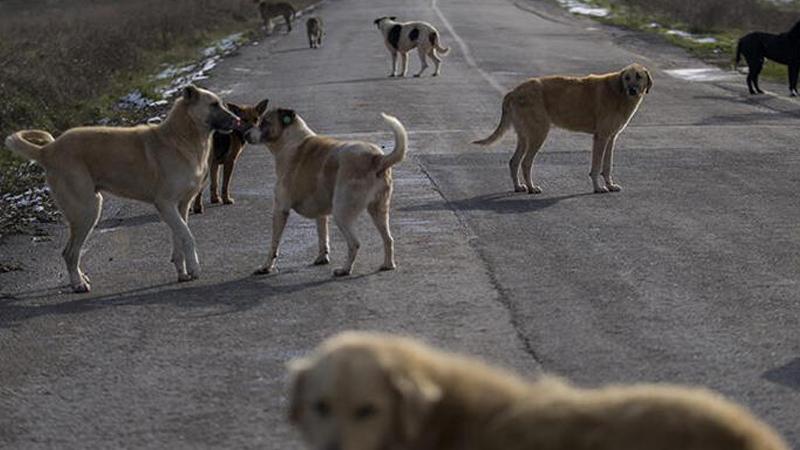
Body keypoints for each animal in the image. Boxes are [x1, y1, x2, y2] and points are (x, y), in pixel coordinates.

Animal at [3, 86, 241, 294]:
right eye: (213, 104)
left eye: (221, 103)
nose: (238, 121)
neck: (182, 137)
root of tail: (47, 150)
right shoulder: (165, 204)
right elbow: (188, 237)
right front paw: (194, 268)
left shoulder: (180, 206)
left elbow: (179, 238)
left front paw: (182, 272)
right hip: (87, 210)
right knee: (69, 253)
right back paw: (78, 284)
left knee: (73, 252)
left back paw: (80, 278)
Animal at [244, 109, 406, 278]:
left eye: (264, 122)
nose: (245, 134)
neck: (290, 141)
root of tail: (377, 158)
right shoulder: (320, 213)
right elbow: (322, 236)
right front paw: (322, 257)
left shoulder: (280, 210)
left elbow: (274, 244)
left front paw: (266, 267)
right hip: (378, 210)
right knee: (388, 239)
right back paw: (388, 265)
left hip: (341, 213)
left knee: (354, 243)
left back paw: (345, 269)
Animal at [476, 63, 648, 195]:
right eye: (627, 78)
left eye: (639, 76)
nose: (632, 90)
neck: (618, 92)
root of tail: (513, 92)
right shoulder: (601, 137)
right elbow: (597, 166)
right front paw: (598, 188)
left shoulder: (611, 138)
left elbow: (607, 165)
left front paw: (610, 185)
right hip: (538, 134)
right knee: (525, 162)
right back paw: (532, 187)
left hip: (525, 136)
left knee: (514, 161)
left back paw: (519, 187)